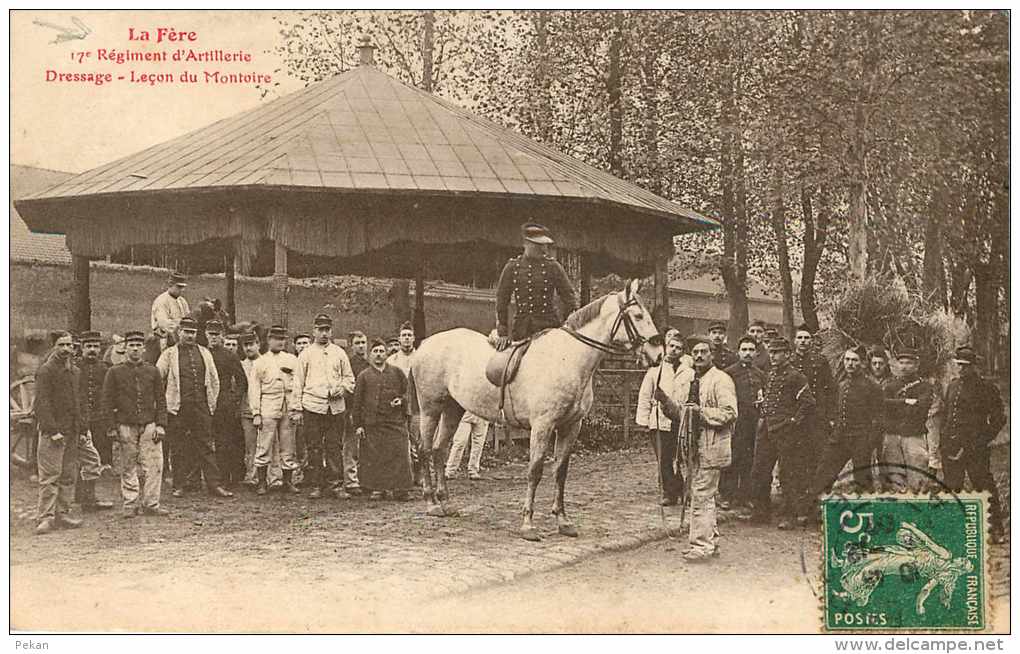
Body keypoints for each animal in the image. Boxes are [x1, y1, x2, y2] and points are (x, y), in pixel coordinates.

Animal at [410, 277, 665, 538]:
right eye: (637, 315)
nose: (658, 355)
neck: (567, 359)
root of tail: (424, 344)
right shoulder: (542, 426)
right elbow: (535, 470)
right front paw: (528, 523)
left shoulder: (571, 426)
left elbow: (560, 471)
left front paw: (563, 521)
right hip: (430, 408)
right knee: (425, 449)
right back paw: (432, 503)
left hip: (453, 408)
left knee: (439, 449)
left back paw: (446, 503)